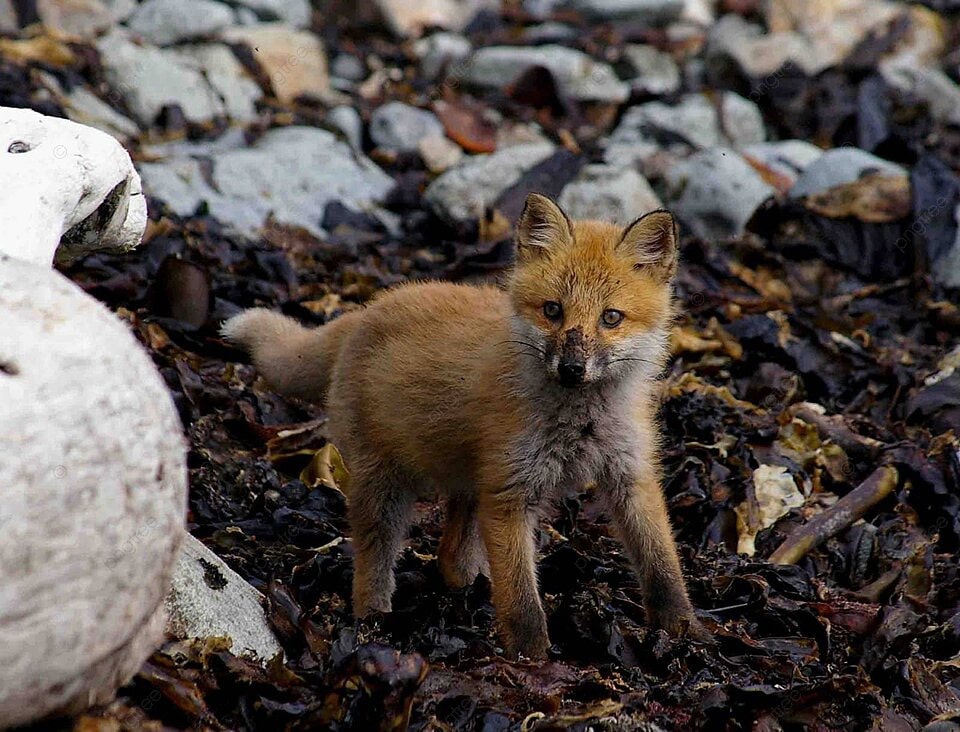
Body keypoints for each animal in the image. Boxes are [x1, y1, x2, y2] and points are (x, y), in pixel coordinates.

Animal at [223, 194, 704, 656]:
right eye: (553, 310)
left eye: (611, 317)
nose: (571, 369)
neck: (580, 424)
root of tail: (368, 310)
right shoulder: (510, 494)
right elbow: (520, 599)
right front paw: (532, 660)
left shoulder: (630, 475)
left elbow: (661, 564)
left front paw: (684, 630)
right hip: (386, 489)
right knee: (374, 559)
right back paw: (373, 622)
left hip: (471, 484)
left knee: (450, 556)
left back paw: (466, 588)